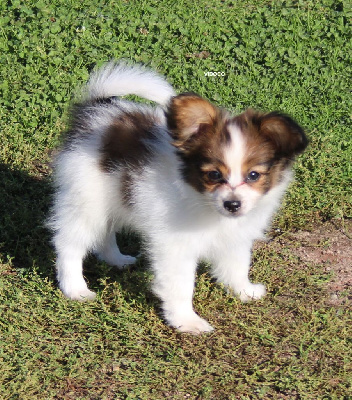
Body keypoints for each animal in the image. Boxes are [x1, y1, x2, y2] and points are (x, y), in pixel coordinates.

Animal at [48, 61, 306, 332]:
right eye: (214, 174)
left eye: (254, 175)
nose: (232, 204)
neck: (207, 205)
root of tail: (97, 109)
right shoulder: (175, 247)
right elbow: (181, 286)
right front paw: (187, 321)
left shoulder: (235, 238)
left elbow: (237, 266)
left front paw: (244, 291)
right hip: (86, 200)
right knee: (69, 244)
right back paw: (75, 288)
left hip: (112, 198)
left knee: (105, 230)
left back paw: (116, 259)